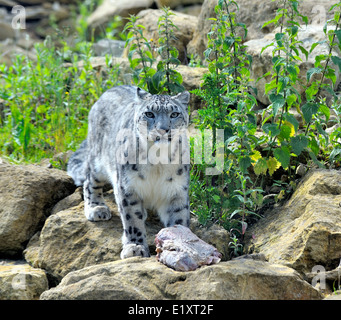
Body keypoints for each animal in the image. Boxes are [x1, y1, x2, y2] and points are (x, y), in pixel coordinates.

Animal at [67, 85, 190, 260]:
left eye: (174, 114)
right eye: (149, 114)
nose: (162, 130)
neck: (158, 163)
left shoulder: (176, 190)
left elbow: (178, 218)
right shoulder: (127, 187)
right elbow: (132, 219)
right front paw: (135, 247)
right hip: (99, 163)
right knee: (89, 182)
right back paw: (96, 208)